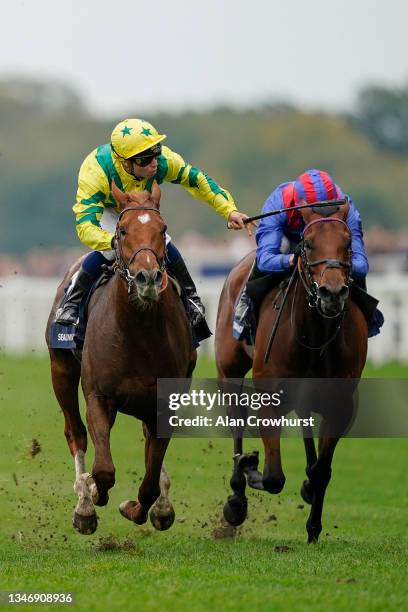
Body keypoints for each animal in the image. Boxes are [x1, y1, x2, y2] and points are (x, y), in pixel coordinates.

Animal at [46, 183, 196, 536]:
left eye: (163, 229)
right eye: (124, 229)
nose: (148, 278)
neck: (138, 334)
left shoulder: (164, 404)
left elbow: (150, 480)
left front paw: (144, 508)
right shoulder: (99, 396)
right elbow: (104, 469)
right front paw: (90, 496)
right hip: (61, 371)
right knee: (75, 432)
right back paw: (84, 501)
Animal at [215, 203, 368, 544]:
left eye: (349, 244)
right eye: (307, 244)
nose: (332, 293)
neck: (314, 333)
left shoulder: (340, 406)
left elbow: (322, 471)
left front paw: (313, 526)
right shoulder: (269, 398)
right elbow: (273, 477)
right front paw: (250, 466)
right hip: (229, 369)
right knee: (236, 421)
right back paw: (236, 495)